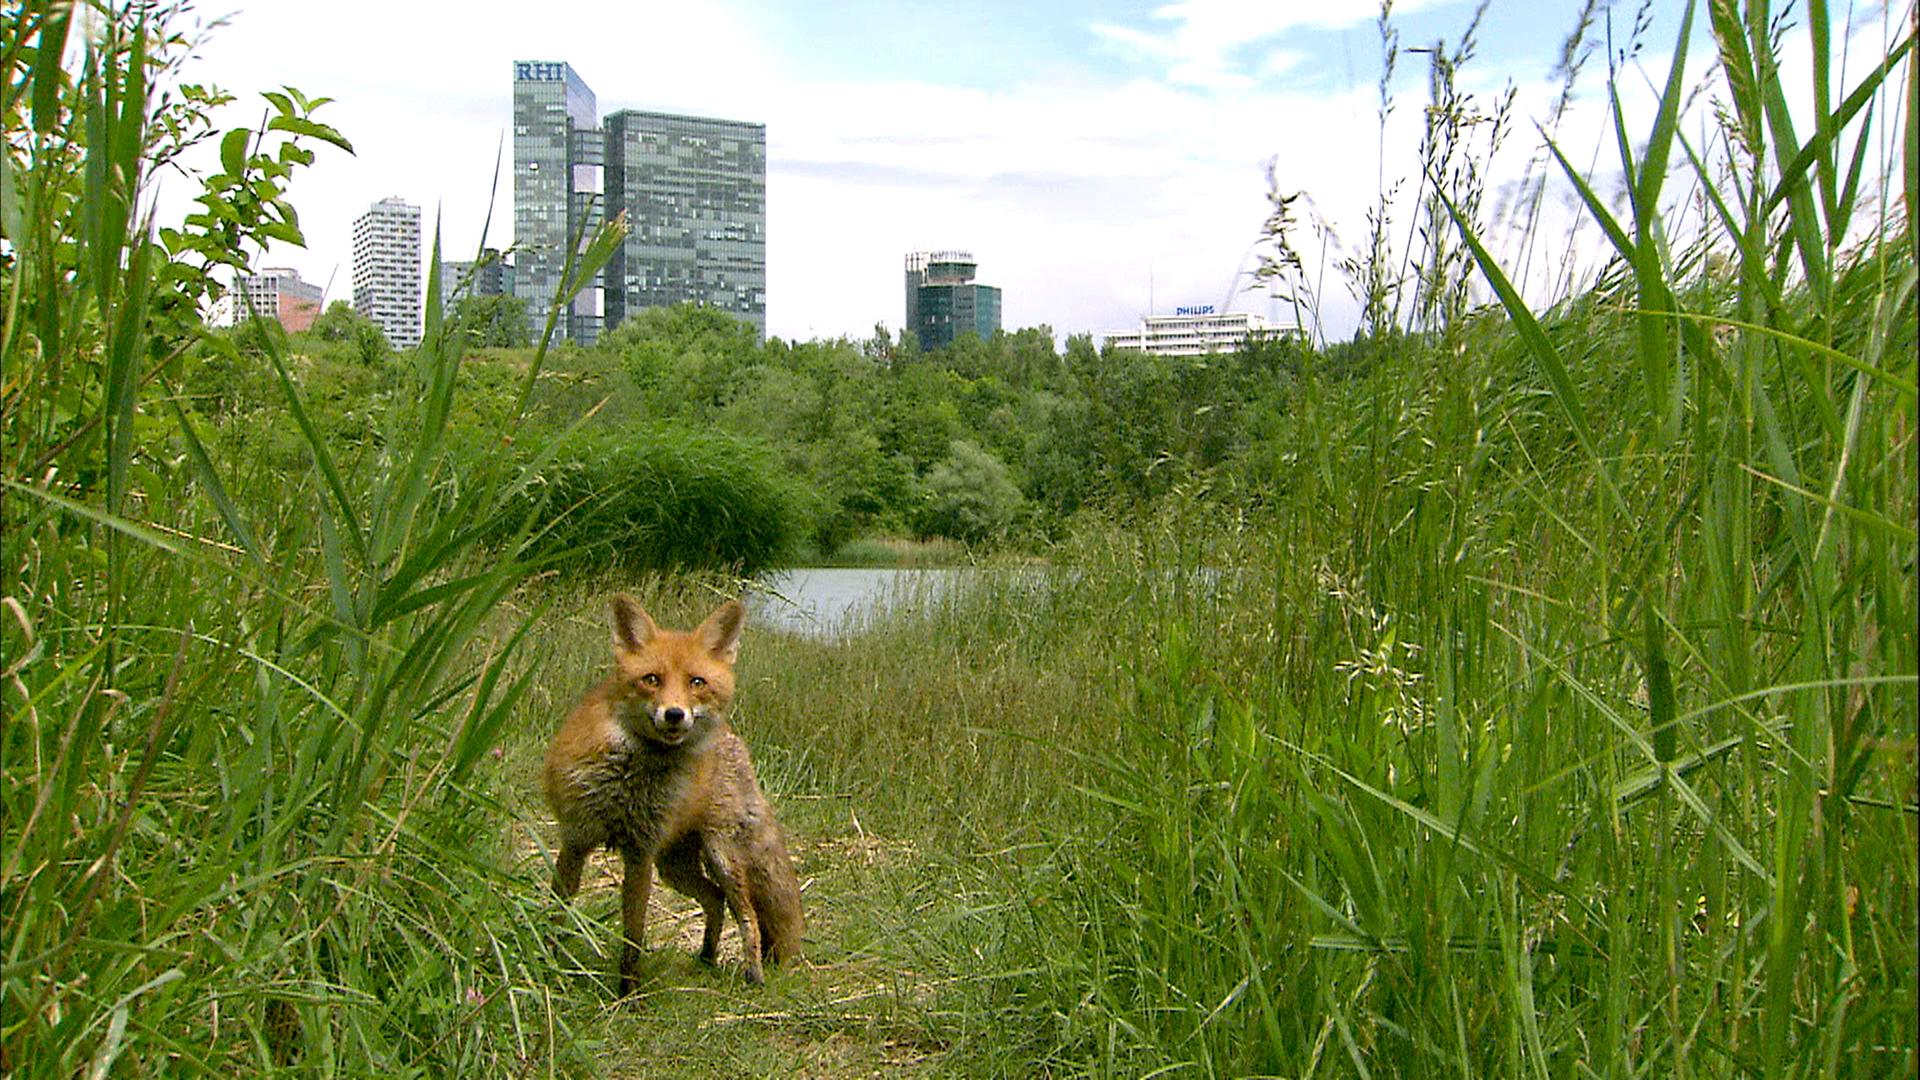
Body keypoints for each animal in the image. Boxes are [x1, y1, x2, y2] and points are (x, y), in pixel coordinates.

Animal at [543, 595, 803, 993]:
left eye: (697, 682)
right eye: (651, 680)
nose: (675, 714)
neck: (630, 780)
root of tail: (733, 738)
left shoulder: (640, 855)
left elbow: (633, 937)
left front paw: (628, 994)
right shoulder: (576, 840)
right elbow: (557, 913)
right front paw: (548, 967)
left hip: (720, 857)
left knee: (746, 914)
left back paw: (753, 975)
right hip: (674, 867)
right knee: (715, 898)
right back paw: (707, 958)